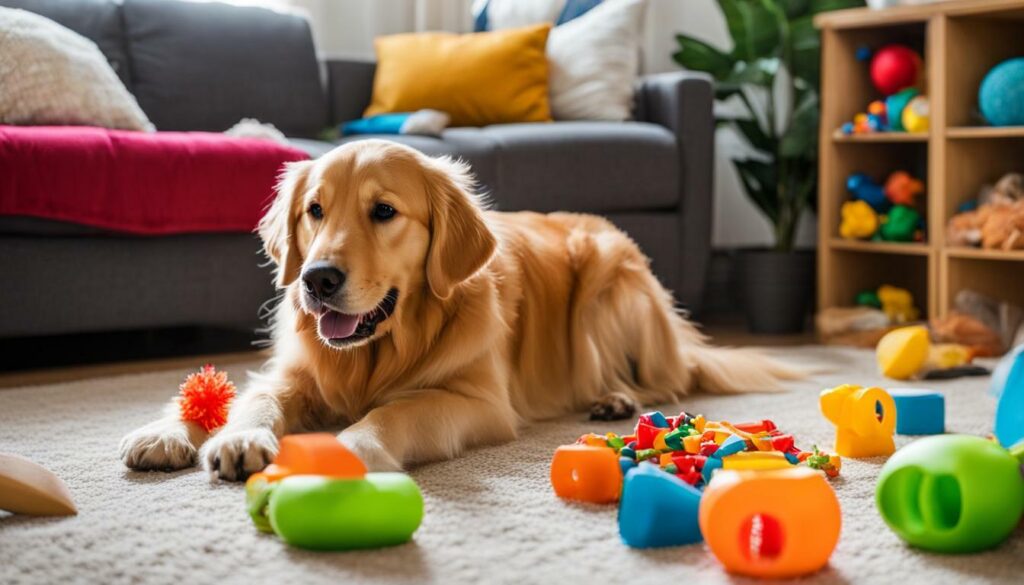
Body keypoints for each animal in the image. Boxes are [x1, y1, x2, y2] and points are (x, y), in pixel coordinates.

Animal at [117, 140, 790, 481]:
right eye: (315, 210)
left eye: (384, 211)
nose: (316, 280)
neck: (380, 349)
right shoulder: (293, 375)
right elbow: (249, 399)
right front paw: (196, 433)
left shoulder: (478, 402)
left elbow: (395, 413)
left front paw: (351, 445)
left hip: (604, 280)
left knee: (662, 379)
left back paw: (615, 397)